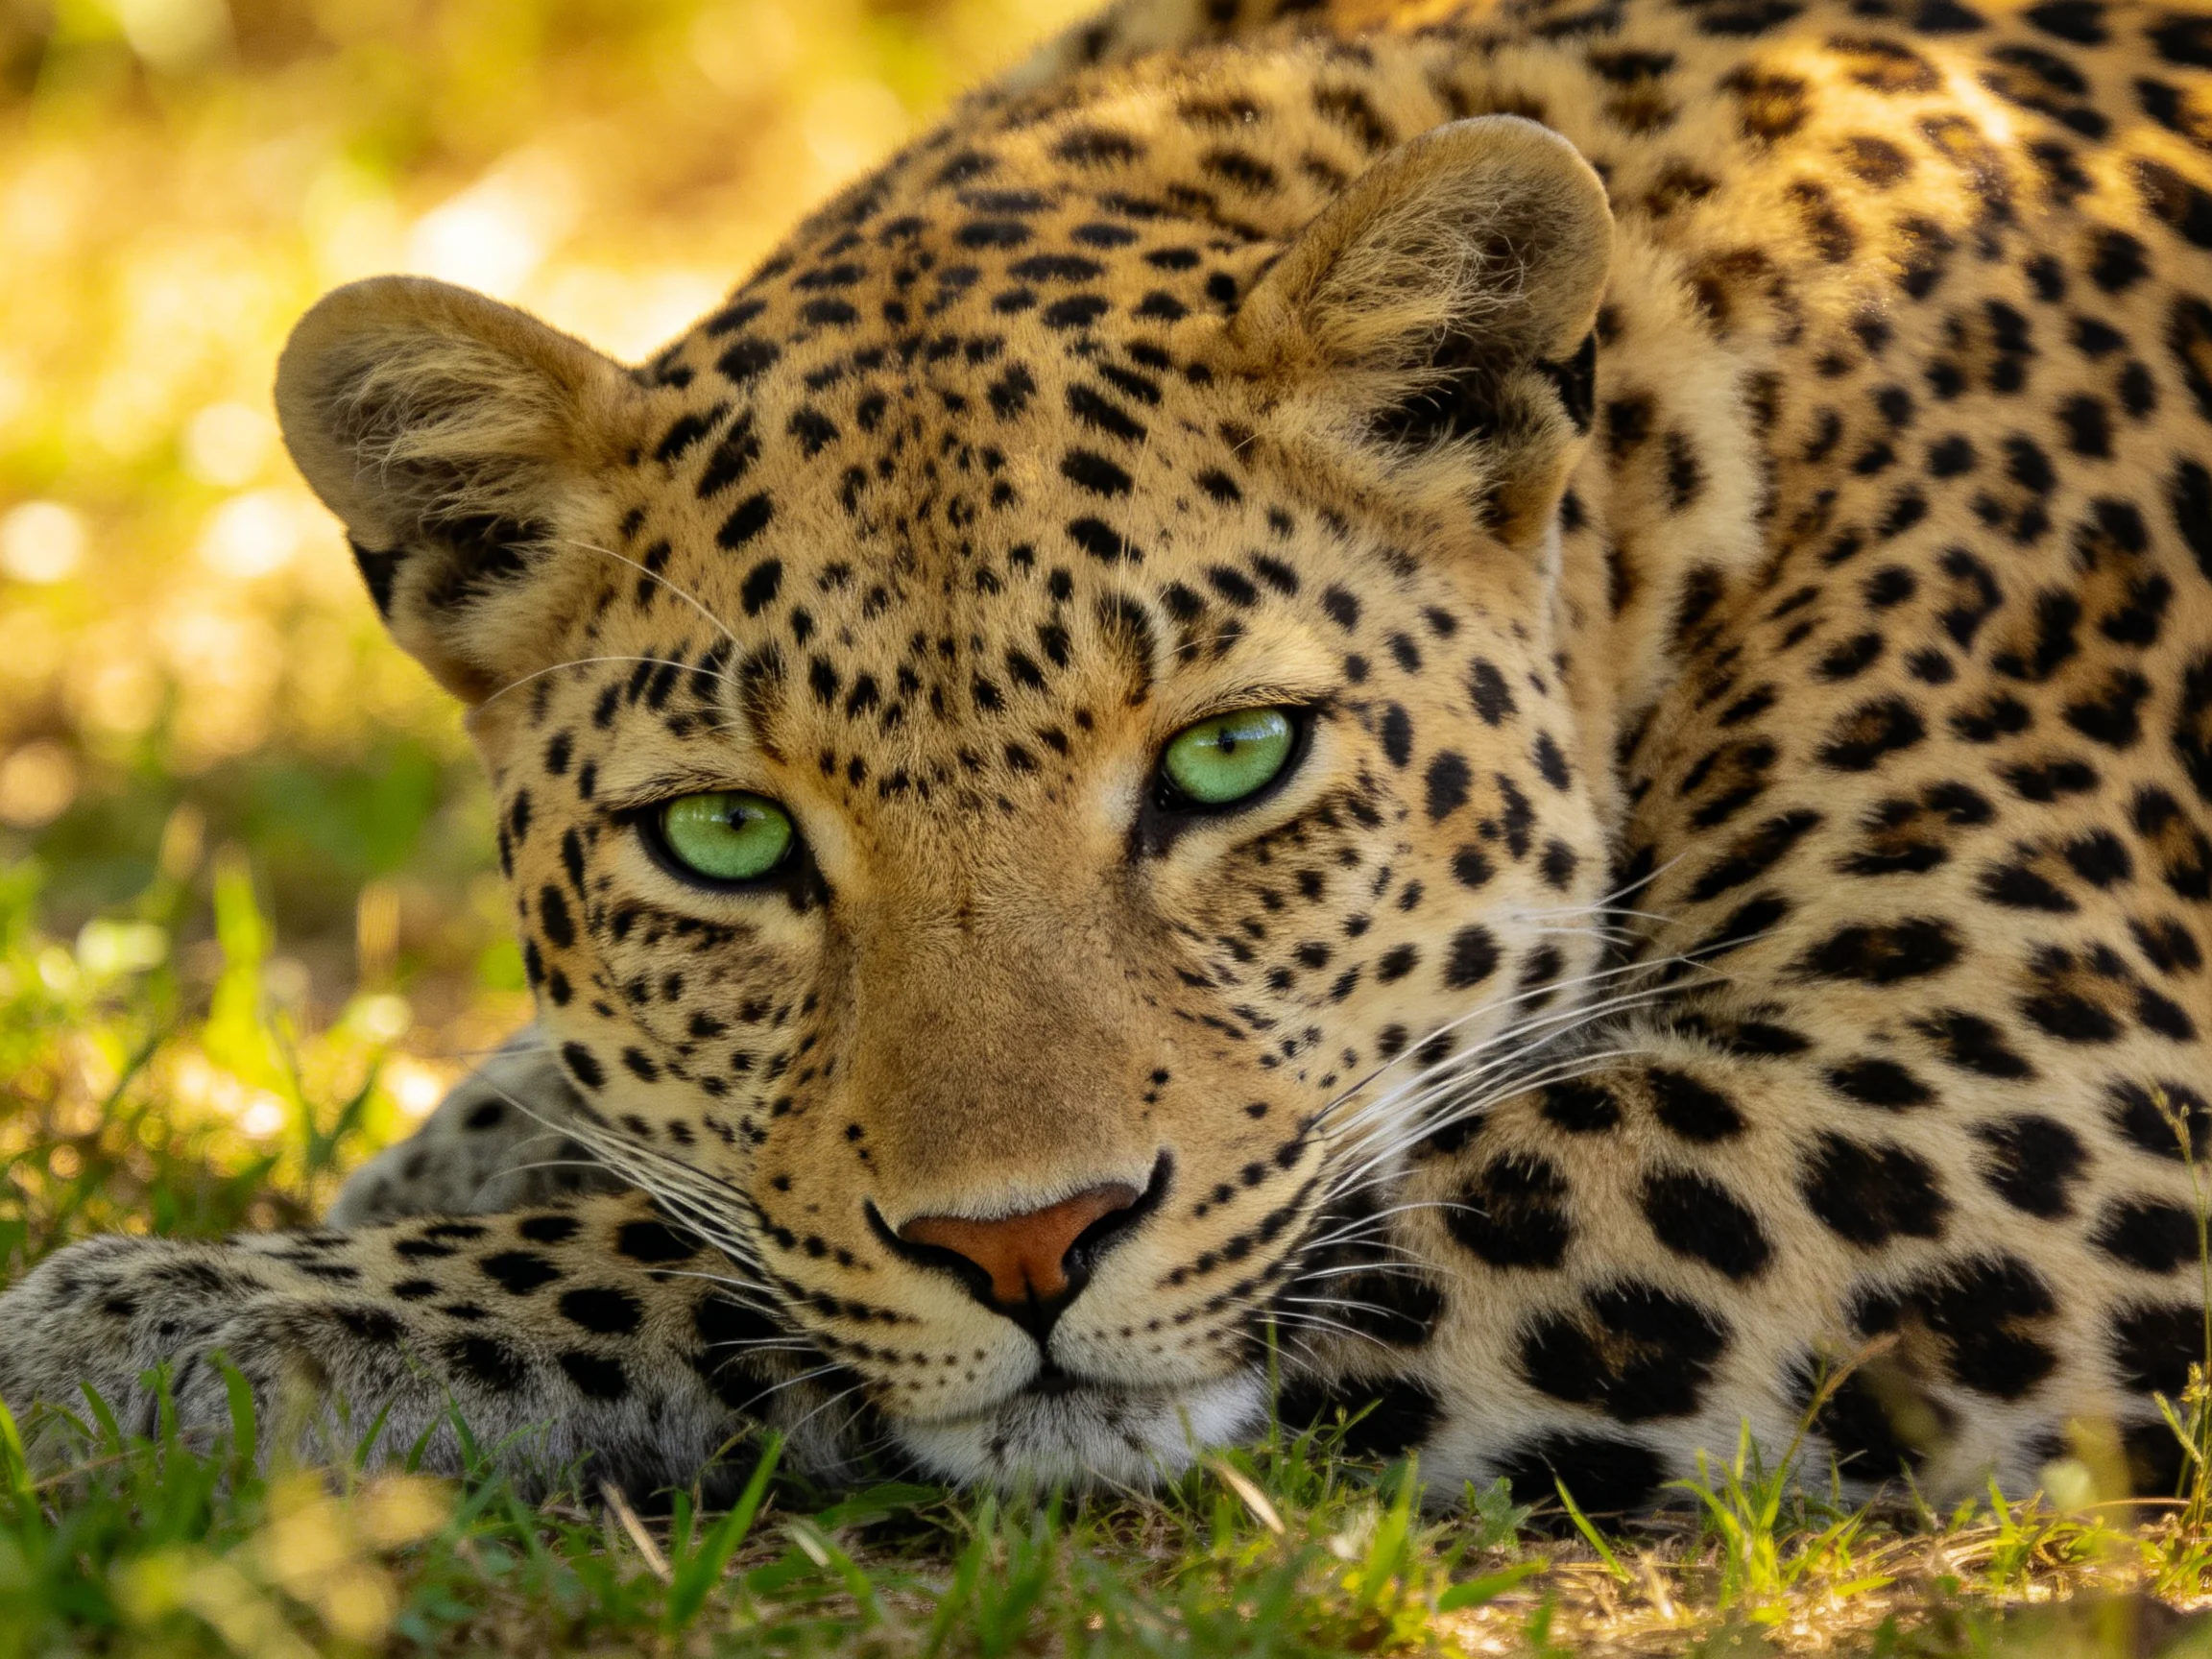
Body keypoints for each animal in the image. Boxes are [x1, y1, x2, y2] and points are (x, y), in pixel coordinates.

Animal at [5, 0, 2209, 1517]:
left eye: (1232, 762)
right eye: (723, 838)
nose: (1022, 1246)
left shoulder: (2018, 1079)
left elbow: (706, 1262)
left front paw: (181, 1326)